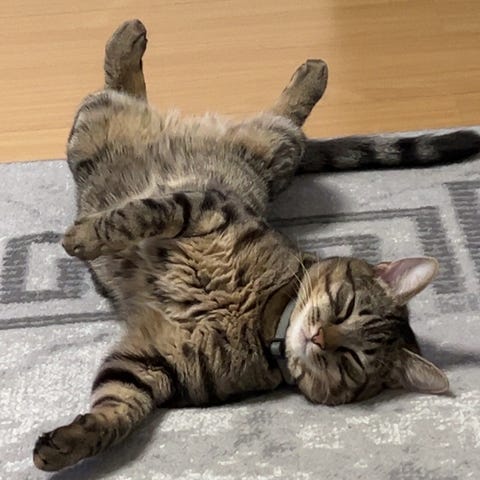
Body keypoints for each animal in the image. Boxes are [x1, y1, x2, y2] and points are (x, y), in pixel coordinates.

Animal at [33, 19, 479, 472]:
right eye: (345, 306)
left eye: (352, 359)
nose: (319, 337)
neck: (261, 319)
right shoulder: (205, 209)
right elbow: (135, 217)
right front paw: (83, 237)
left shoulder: (153, 364)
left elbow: (118, 410)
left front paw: (67, 444)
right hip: (137, 136)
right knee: (261, 112)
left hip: (226, 144)